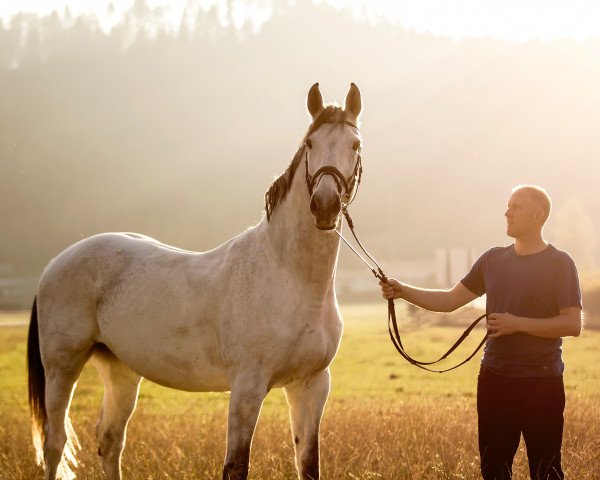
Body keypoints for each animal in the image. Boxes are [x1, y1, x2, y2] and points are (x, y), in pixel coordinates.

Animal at [27, 83, 366, 480]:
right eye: (310, 143)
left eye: (355, 145)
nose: (326, 205)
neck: (289, 278)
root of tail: (56, 263)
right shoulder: (247, 387)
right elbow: (236, 466)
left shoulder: (310, 386)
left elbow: (309, 464)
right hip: (62, 367)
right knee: (54, 444)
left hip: (120, 370)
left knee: (109, 440)